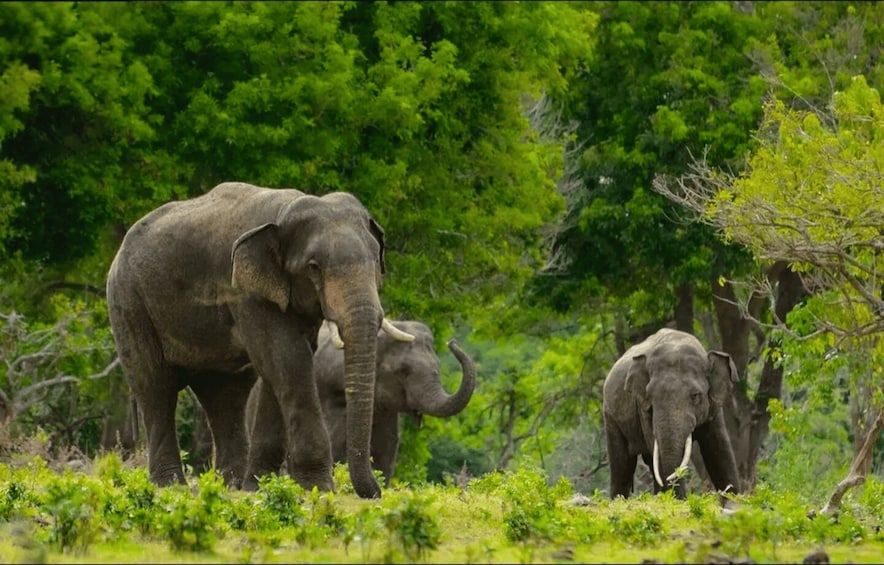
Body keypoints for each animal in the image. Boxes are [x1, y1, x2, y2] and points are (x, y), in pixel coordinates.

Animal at [106, 182, 415, 499]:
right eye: (313, 267)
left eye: (376, 260)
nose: (374, 493)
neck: (284, 211)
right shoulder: (247, 292)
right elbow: (287, 359)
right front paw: (316, 487)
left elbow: (278, 367)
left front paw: (258, 487)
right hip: (129, 303)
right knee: (156, 386)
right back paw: (171, 487)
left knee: (225, 395)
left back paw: (231, 485)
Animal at [245, 319, 476, 485]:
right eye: (403, 372)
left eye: (438, 366)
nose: (452, 342)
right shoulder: (332, 390)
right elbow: (335, 439)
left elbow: (386, 448)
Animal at [602, 328, 742, 499]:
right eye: (651, 396)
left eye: (695, 395)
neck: (677, 341)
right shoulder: (643, 407)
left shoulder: (714, 407)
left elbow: (719, 449)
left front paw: (735, 500)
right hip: (610, 416)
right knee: (622, 466)